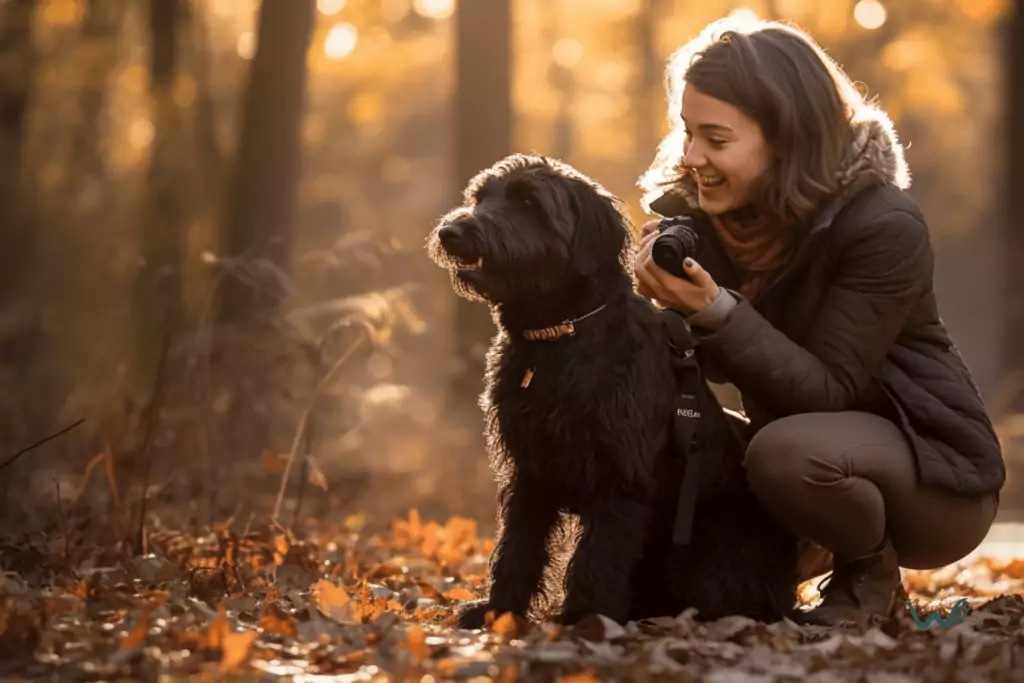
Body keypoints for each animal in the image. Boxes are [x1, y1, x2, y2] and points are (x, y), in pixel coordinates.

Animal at [423, 154, 798, 630]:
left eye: (528, 201)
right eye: (480, 196)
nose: (452, 232)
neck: (559, 338)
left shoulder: (619, 473)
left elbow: (598, 555)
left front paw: (585, 618)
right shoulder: (531, 469)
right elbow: (517, 546)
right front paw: (497, 610)